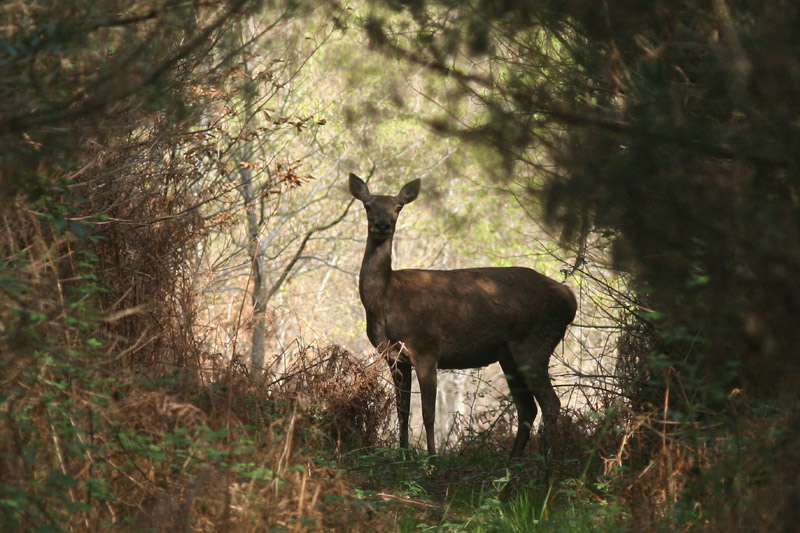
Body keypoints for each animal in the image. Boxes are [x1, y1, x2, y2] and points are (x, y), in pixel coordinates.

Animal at [348, 172, 576, 456]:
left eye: (398, 207)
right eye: (368, 206)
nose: (382, 224)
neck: (385, 300)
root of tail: (570, 299)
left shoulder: (426, 347)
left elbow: (428, 414)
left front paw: (431, 457)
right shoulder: (394, 357)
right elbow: (402, 412)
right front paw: (403, 454)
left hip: (536, 341)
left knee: (550, 403)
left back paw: (547, 460)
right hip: (510, 354)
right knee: (528, 408)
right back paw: (514, 460)